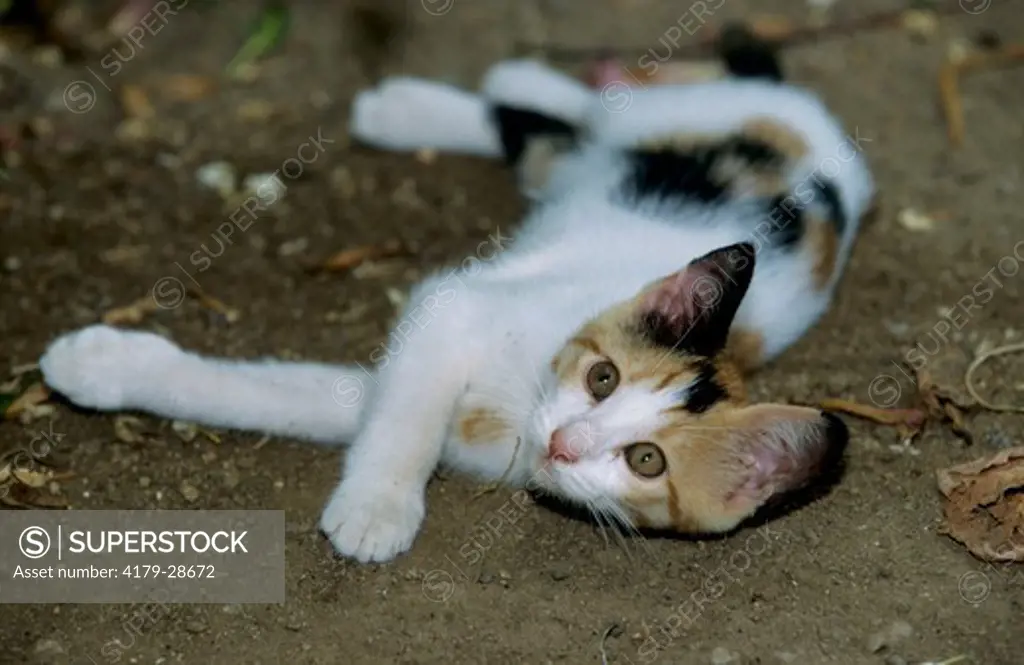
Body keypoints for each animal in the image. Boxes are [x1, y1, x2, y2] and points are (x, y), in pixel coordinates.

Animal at [39, 28, 872, 561]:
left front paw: (100, 365)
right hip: (684, 118)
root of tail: (825, 139)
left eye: (645, 461)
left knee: (553, 136)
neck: (519, 402)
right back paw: (448, 93)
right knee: (597, 106)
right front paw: (379, 505)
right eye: (603, 378)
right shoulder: (453, 310)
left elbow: (290, 397)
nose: (566, 442)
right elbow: (402, 416)